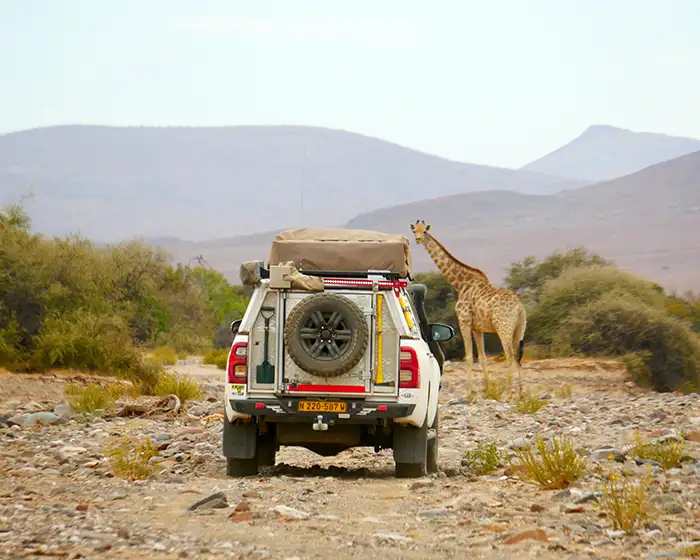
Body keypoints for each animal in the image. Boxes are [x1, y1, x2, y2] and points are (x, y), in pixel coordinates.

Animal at [409, 220, 528, 397]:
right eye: (414, 230)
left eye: (424, 231)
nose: (417, 239)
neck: (460, 283)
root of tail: (520, 308)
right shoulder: (477, 327)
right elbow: (482, 357)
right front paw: (487, 389)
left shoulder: (463, 321)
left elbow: (469, 356)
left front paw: (469, 392)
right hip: (519, 329)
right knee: (517, 355)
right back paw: (520, 392)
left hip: (504, 327)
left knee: (510, 355)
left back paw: (509, 392)